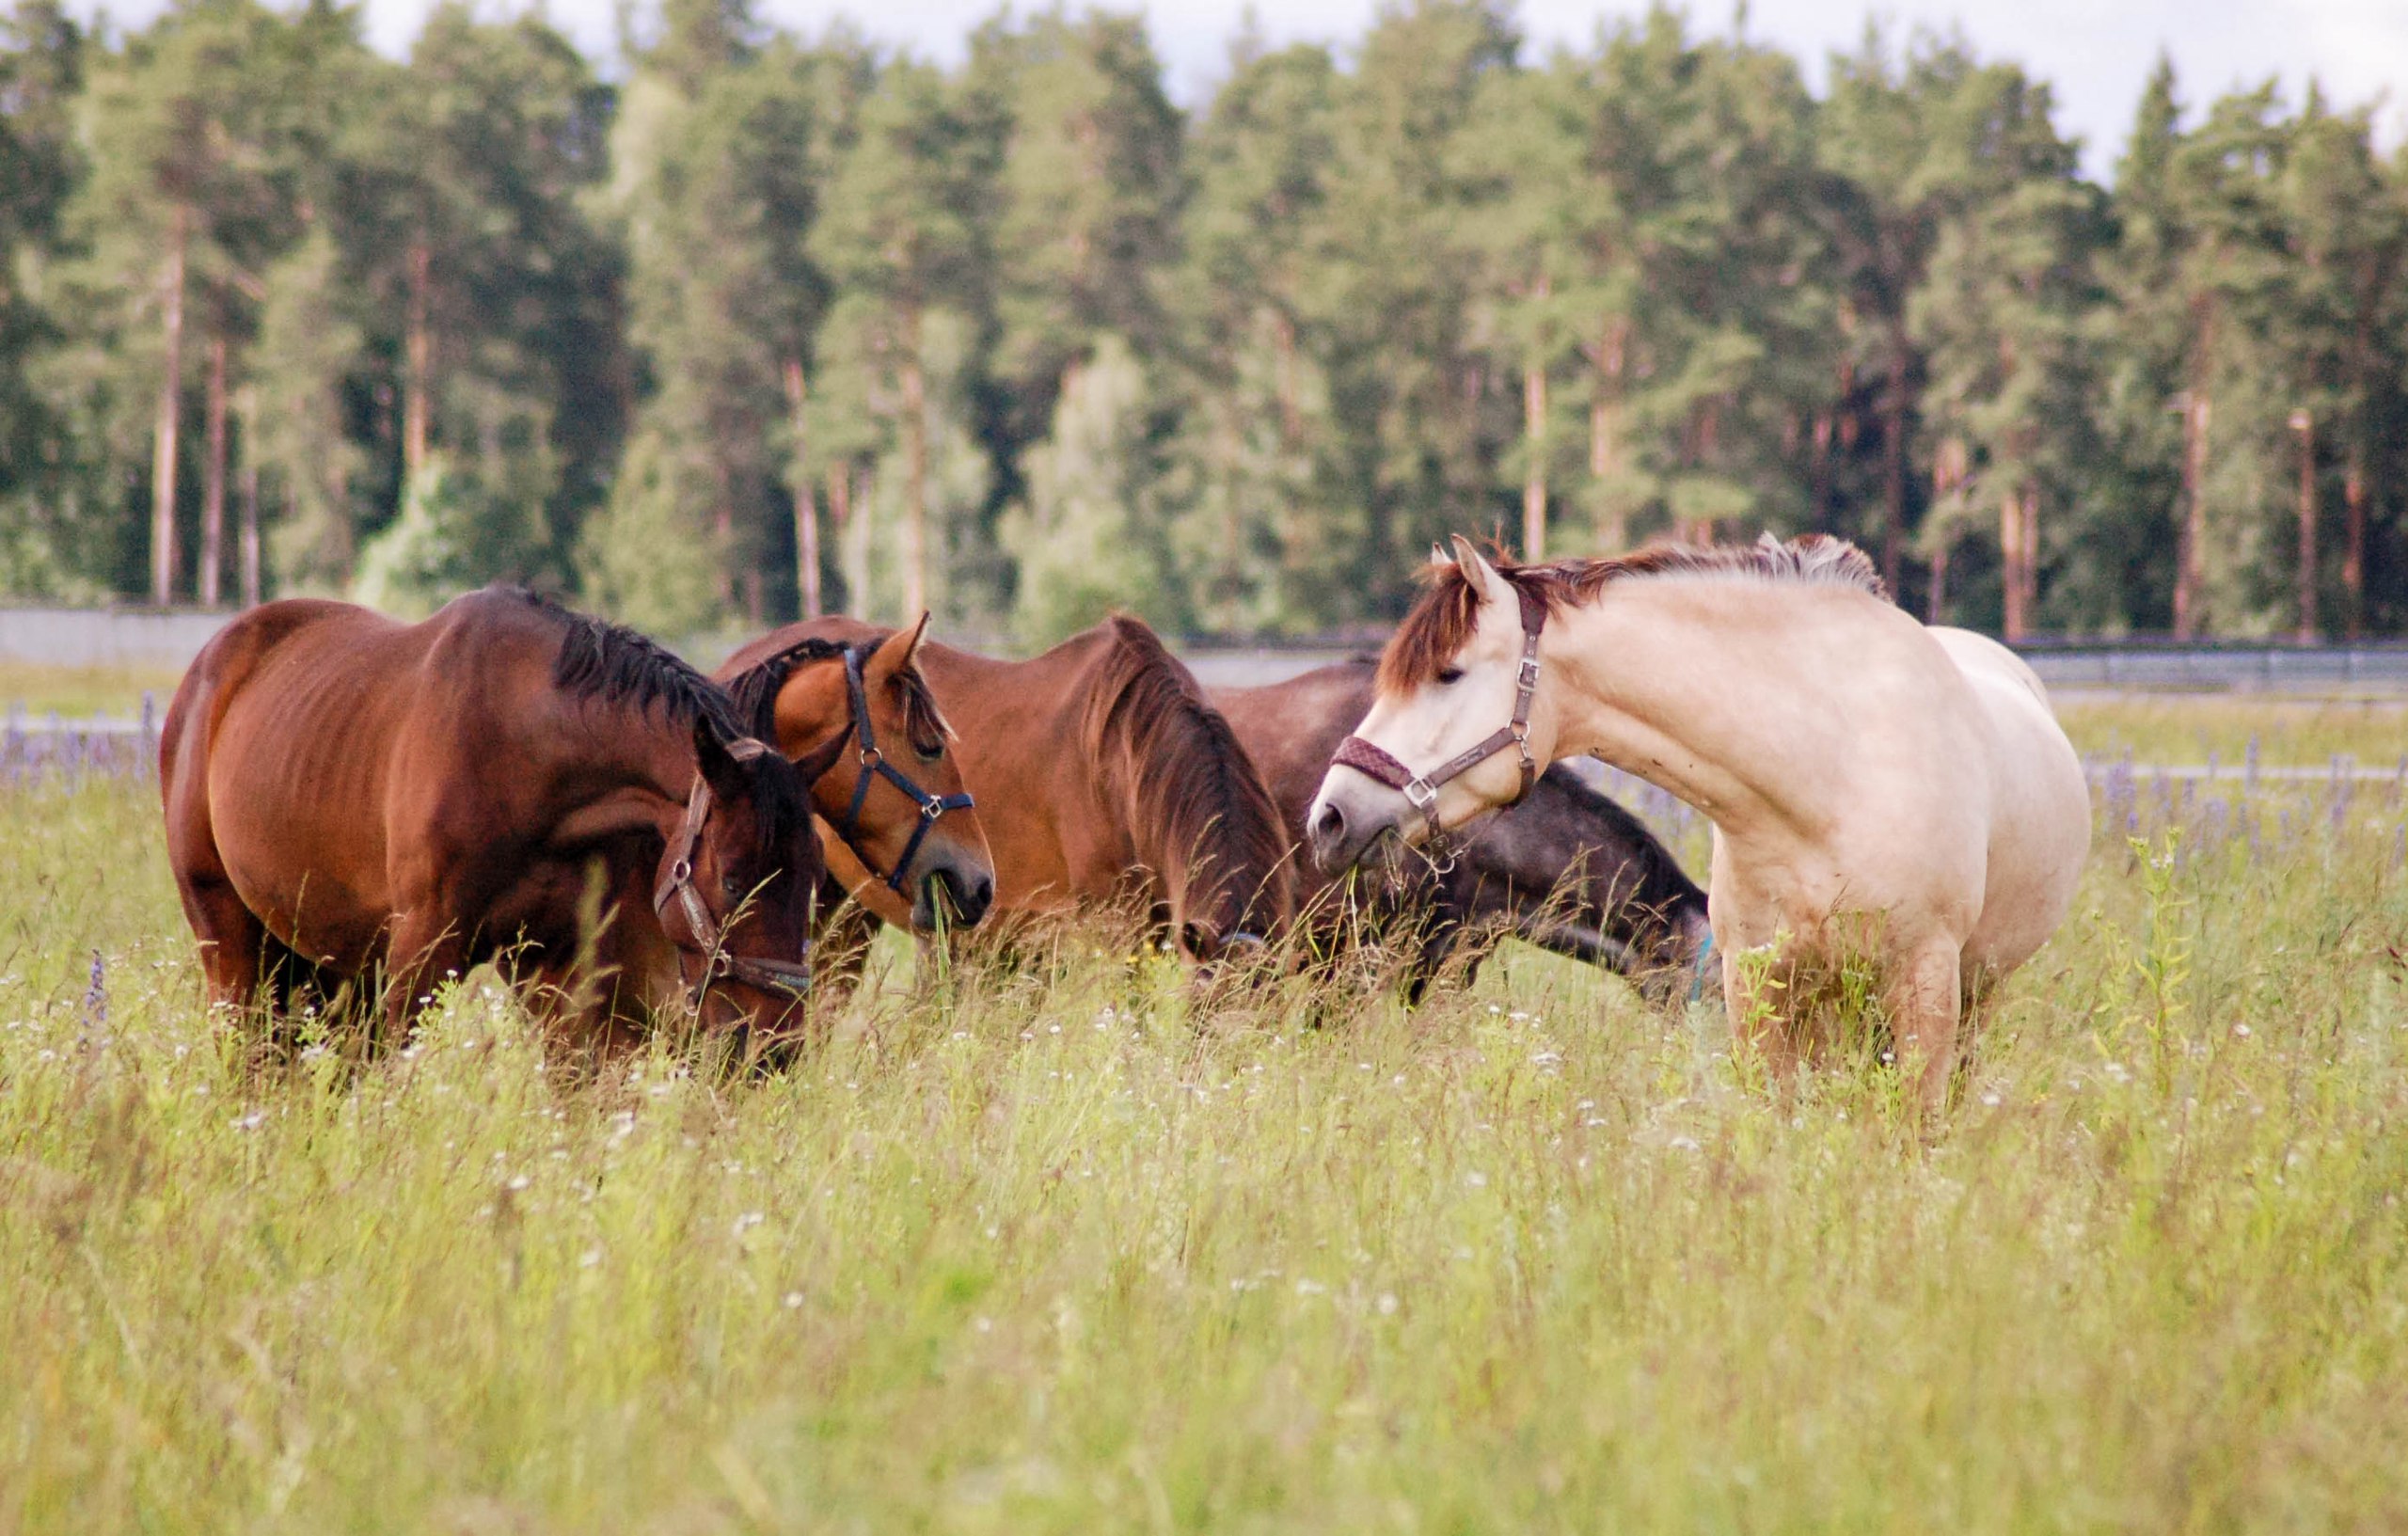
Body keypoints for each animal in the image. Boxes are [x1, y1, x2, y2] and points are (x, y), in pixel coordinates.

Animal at [1319, 534, 2090, 1112]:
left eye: (1448, 673)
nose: (1330, 815)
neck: (1830, 775)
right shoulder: (1760, 989)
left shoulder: (1925, 982)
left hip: (1975, 989)